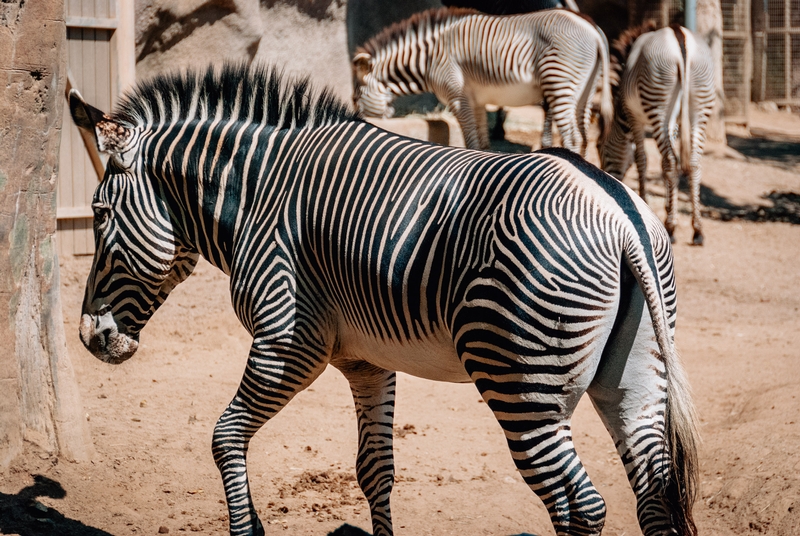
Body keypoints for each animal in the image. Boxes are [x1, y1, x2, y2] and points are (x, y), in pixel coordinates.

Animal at [69, 63, 696, 536]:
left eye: (98, 214)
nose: (89, 336)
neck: (257, 193)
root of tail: (617, 210)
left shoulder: (288, 341)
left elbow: (225, 437)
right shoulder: (365, 362)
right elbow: (374, 470)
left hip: (522, 384)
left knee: (581, 505)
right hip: (632, 377)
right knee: (652, 495)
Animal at [352, 8, 612, 155]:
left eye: (355, 97)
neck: (429, 59)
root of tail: (593, 29)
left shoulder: (457, 97)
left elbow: (470, 141)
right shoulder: (476, 100)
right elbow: (482, 144)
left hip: (558, 82)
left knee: (572, 138)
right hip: (584, 91)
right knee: (584, 137)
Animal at [596, 22, 716, 245]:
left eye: (600, 147)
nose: (607, 180)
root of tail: (679, 36)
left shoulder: (634, 116)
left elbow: (641, 159)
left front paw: (645, 202)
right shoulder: (674, 122)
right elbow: (661, 165)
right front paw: (669, 206)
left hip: (657, 101)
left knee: (671, 160)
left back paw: (671, 228)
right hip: (699, 105)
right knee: (693, 162)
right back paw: (697, 230)